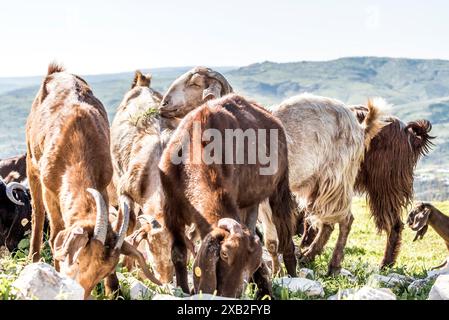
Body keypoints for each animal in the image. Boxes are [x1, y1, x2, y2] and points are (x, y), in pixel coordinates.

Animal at [25, 63, 160, 298]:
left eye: (102, 272)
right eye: (78, 260)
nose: (81, 292)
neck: (75, 141)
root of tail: (56, 72)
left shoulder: (103, 182)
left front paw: (114, 290)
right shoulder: (50, 189)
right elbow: (55, 233)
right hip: (31, 163)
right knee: (37, 211)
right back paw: (34, 258)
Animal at [159, 94, 296, 298]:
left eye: (251, 264)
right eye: (224, 254)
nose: (230, 294)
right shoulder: (170, 209)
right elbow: (178, 254)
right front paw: (183, 289)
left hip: (279, 189)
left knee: (285, 233)